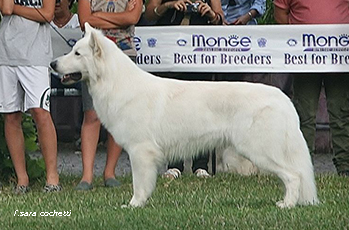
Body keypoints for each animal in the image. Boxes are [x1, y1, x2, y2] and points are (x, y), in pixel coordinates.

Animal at [49, 23, 318, 208]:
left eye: (77, 54)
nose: (52, 64)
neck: (116, 82)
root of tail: (283, 99)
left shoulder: (140, 151)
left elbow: (139, 184)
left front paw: (134, 205)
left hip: (258, 151)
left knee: (294, 176)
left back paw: (286, 205)